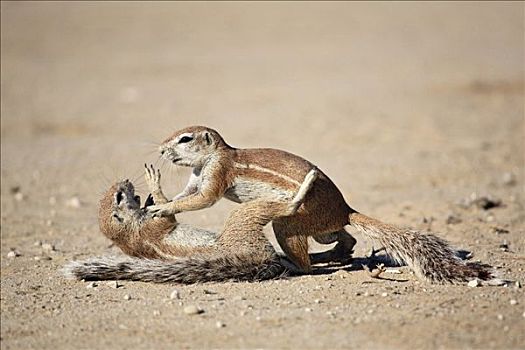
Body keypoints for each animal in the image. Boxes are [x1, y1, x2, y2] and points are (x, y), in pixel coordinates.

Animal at [64, 168, 320, 284]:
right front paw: (154, 186)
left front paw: (150, 198)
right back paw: (304, 187)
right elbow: (167, 218)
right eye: (119, 197)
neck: (129, 232)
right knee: (285, 209)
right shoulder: (152, 227)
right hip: (242, 222)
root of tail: (258, 259)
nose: (125, 181)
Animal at [146, 126, 500, 284]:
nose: (161, 149)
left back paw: (296, 263)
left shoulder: (217, 175)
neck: (209, 159)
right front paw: (158, 194)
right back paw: (327, 255)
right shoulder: (196, 179)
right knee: (347, 239)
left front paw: (162, 209)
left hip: (290, 224)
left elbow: (202, 201)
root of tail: (346, 209)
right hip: (322, 230)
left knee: (308, 260)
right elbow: (185, 196)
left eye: (185, 139)